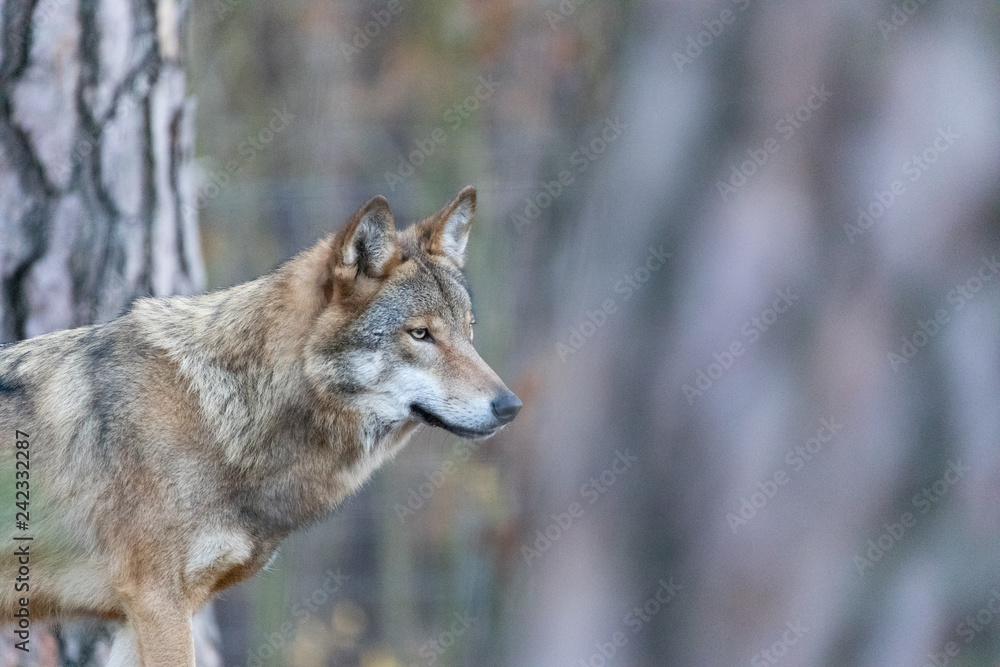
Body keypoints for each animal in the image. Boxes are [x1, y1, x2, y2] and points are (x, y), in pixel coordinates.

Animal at [0, 187, 520, 665]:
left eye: (469, 330)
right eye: (420, 334)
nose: (510, 405)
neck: (219, 414)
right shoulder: (157, 602)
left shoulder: (140, 616)